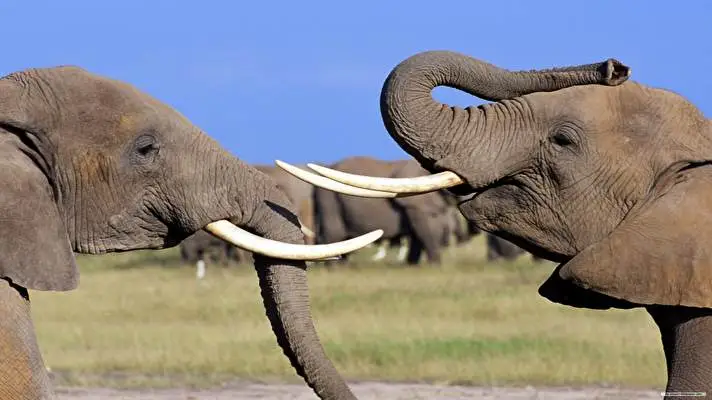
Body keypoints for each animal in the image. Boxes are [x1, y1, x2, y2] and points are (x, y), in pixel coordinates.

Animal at [305, 156, 461, 265]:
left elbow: (418, 234)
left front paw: (412, 266)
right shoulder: (414, 202)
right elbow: (425, 230)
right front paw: (434, 265)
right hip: (329, 199)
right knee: (334, 233)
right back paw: (336, 269)